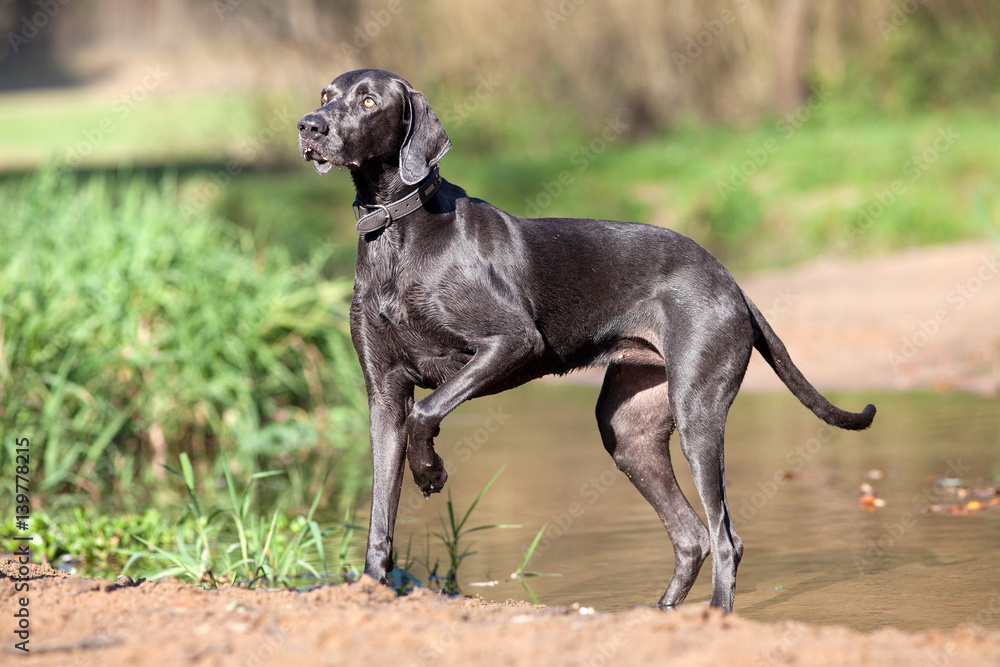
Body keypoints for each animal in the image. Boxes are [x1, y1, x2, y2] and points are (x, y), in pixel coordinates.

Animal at [298, 68, 876, 612]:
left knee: (725, 536)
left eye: (369, 101)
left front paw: (431, 473)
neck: (396, 232)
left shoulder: (509, 344)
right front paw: (372, 588)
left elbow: (427, 412)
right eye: (326, 94)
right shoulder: (383, 393)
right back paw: (661, 611)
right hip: (628, 430)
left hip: (697, 413)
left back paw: (715, 613)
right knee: (692, 535)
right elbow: (380, 511)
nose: (309, 125)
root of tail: (731, 281)